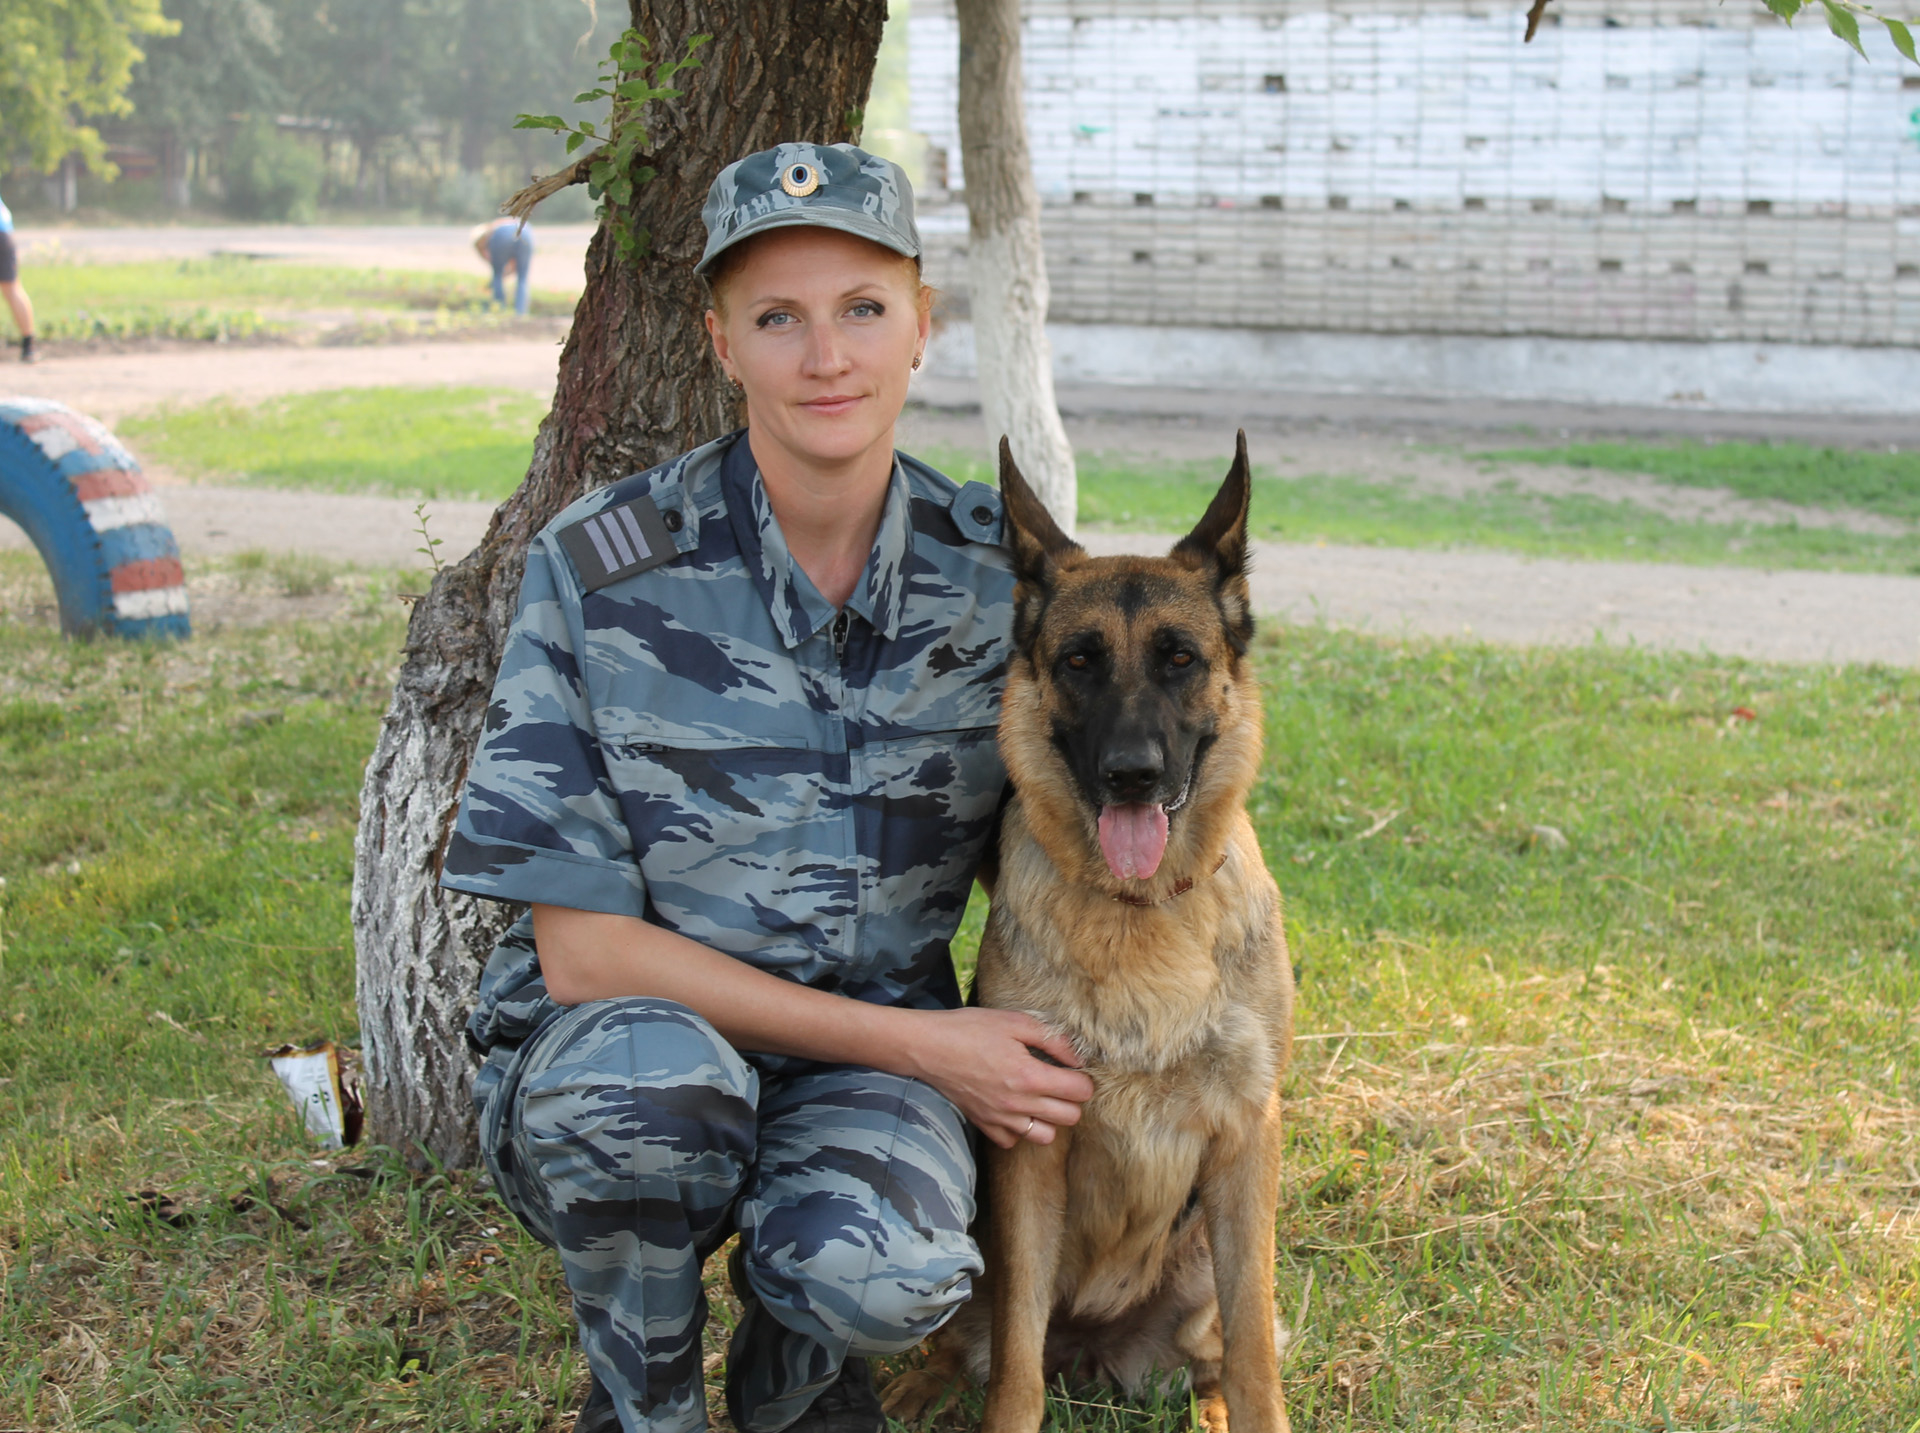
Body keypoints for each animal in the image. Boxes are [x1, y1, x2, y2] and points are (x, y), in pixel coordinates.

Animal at [883, 432, 1290, 1429]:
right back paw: (924, 1380)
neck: (1140, 910)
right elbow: (1016, 1362)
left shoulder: (1247, 1137)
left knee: (1219, 1352)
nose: (1131, 774)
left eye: (1181, 658)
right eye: (1078, 661)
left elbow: (1257, 1350)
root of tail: (1093, 1346)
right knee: (991, 1338)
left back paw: (1209, 1406)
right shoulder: (1034, 1140)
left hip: (1200, 1270)